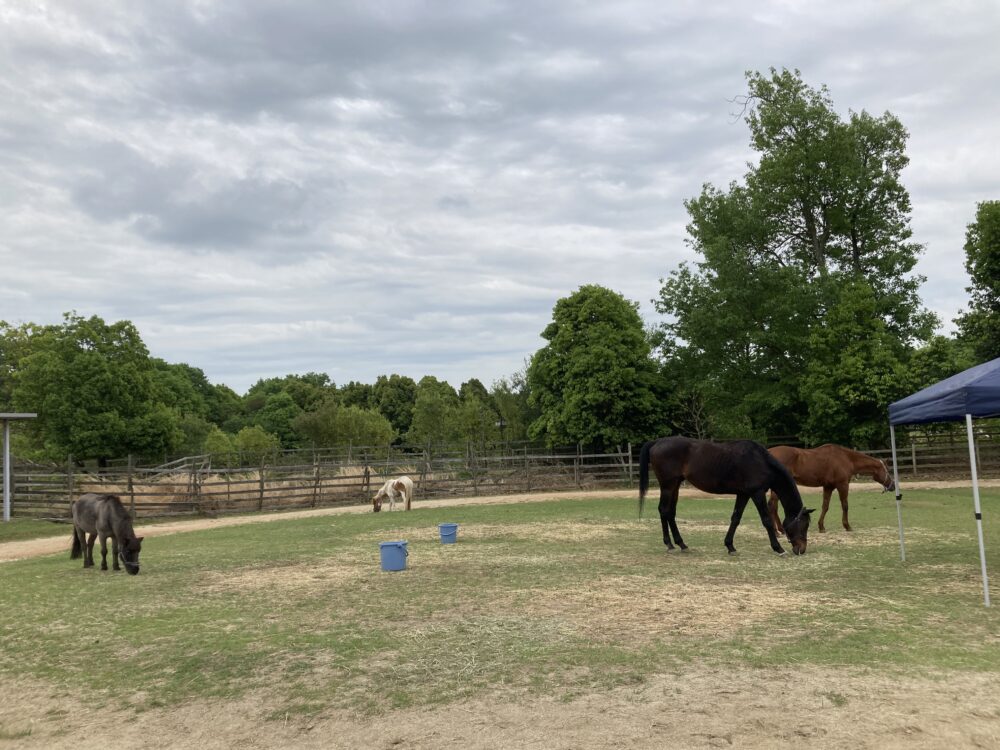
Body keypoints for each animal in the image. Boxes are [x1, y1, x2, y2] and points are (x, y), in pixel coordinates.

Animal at [640, 438, 812, 556]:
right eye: (804, 525)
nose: (801, 549)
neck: (761, 462)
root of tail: (657, 442)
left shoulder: (744, 494)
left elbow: (736, 518)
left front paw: (730, 546)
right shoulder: (757, 493)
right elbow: (766, 520)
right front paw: (779, 548)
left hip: (675, 485)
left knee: (670, 513)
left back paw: (681, 544)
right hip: (667, 486)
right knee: (664, 510)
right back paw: (669, 545)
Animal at [768, 446, 896, 536]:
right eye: (888, 470)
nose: (893, 486)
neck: (846, 458)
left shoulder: (828, 487)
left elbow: (825, 506)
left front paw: (821, 527)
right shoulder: (843, 485)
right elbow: (845, 505)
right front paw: (847, 526)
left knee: (773, 506)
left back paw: (780, 531)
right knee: (772, 506)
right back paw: (777, 532)